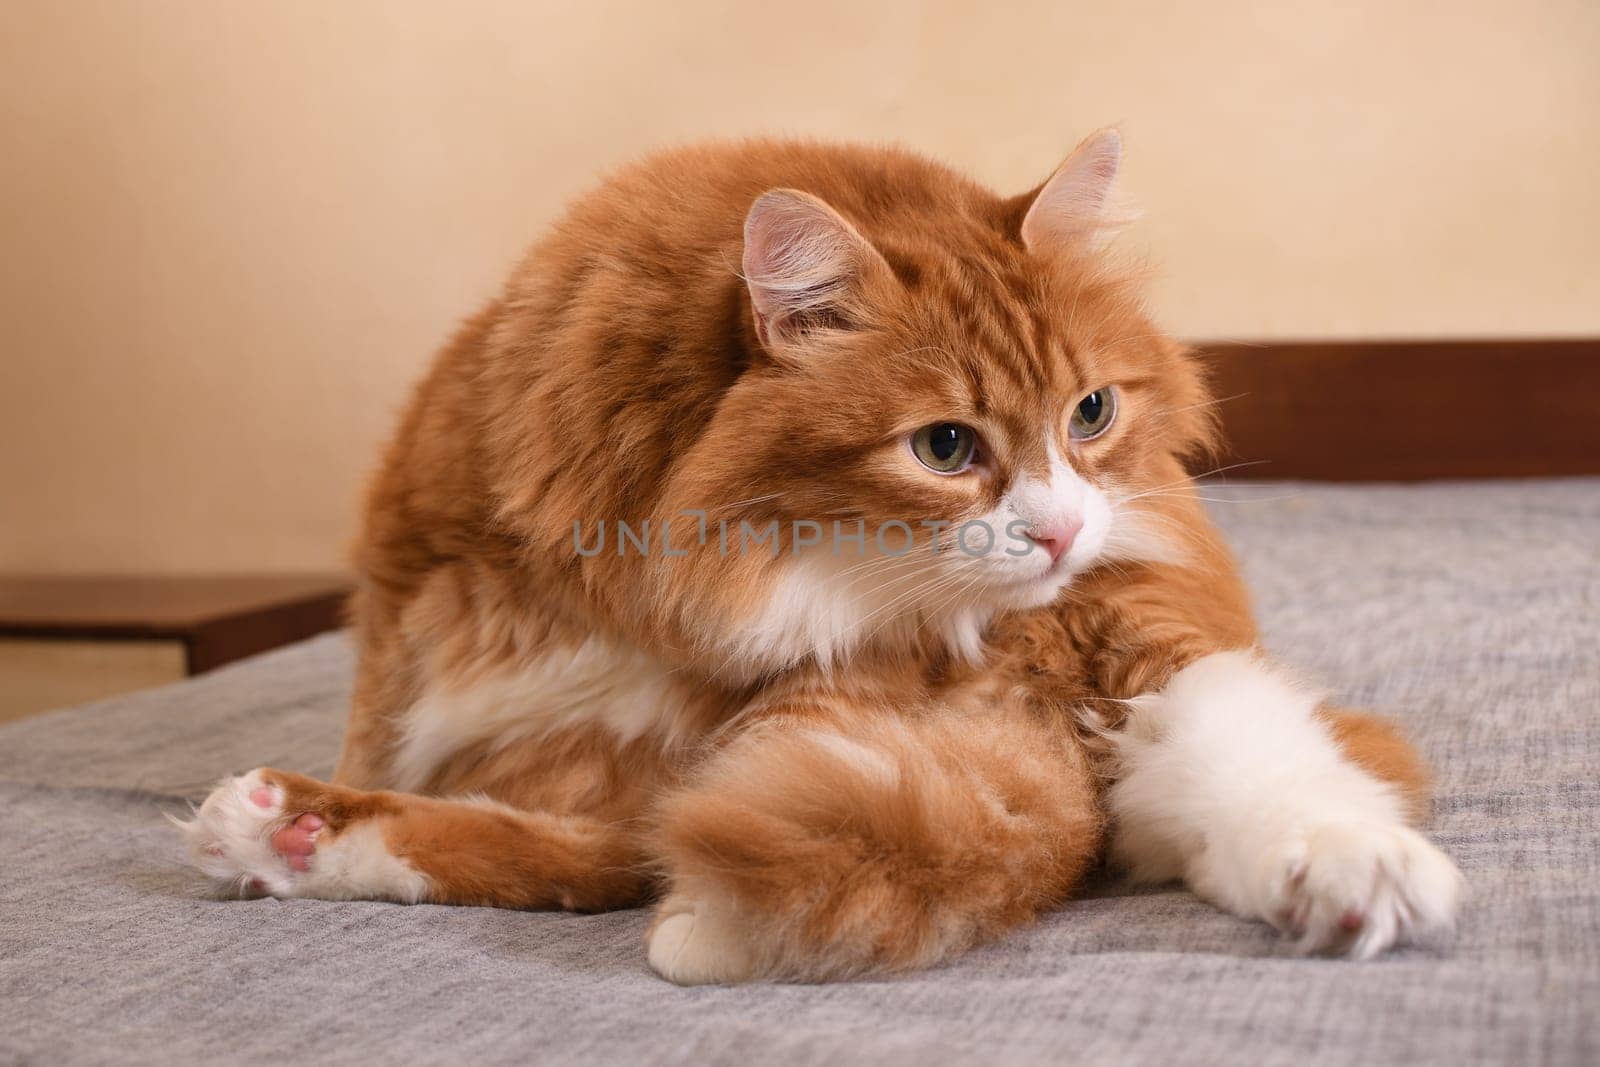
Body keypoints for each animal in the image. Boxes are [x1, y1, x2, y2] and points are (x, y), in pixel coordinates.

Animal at [178, 133, 1465, 985]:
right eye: (944, 445)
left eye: (1090, 412)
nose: (1059, 531)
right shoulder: (451, 660)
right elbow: (547, 839)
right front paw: (304, 828)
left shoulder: (1085, 633)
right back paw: (284, 831)